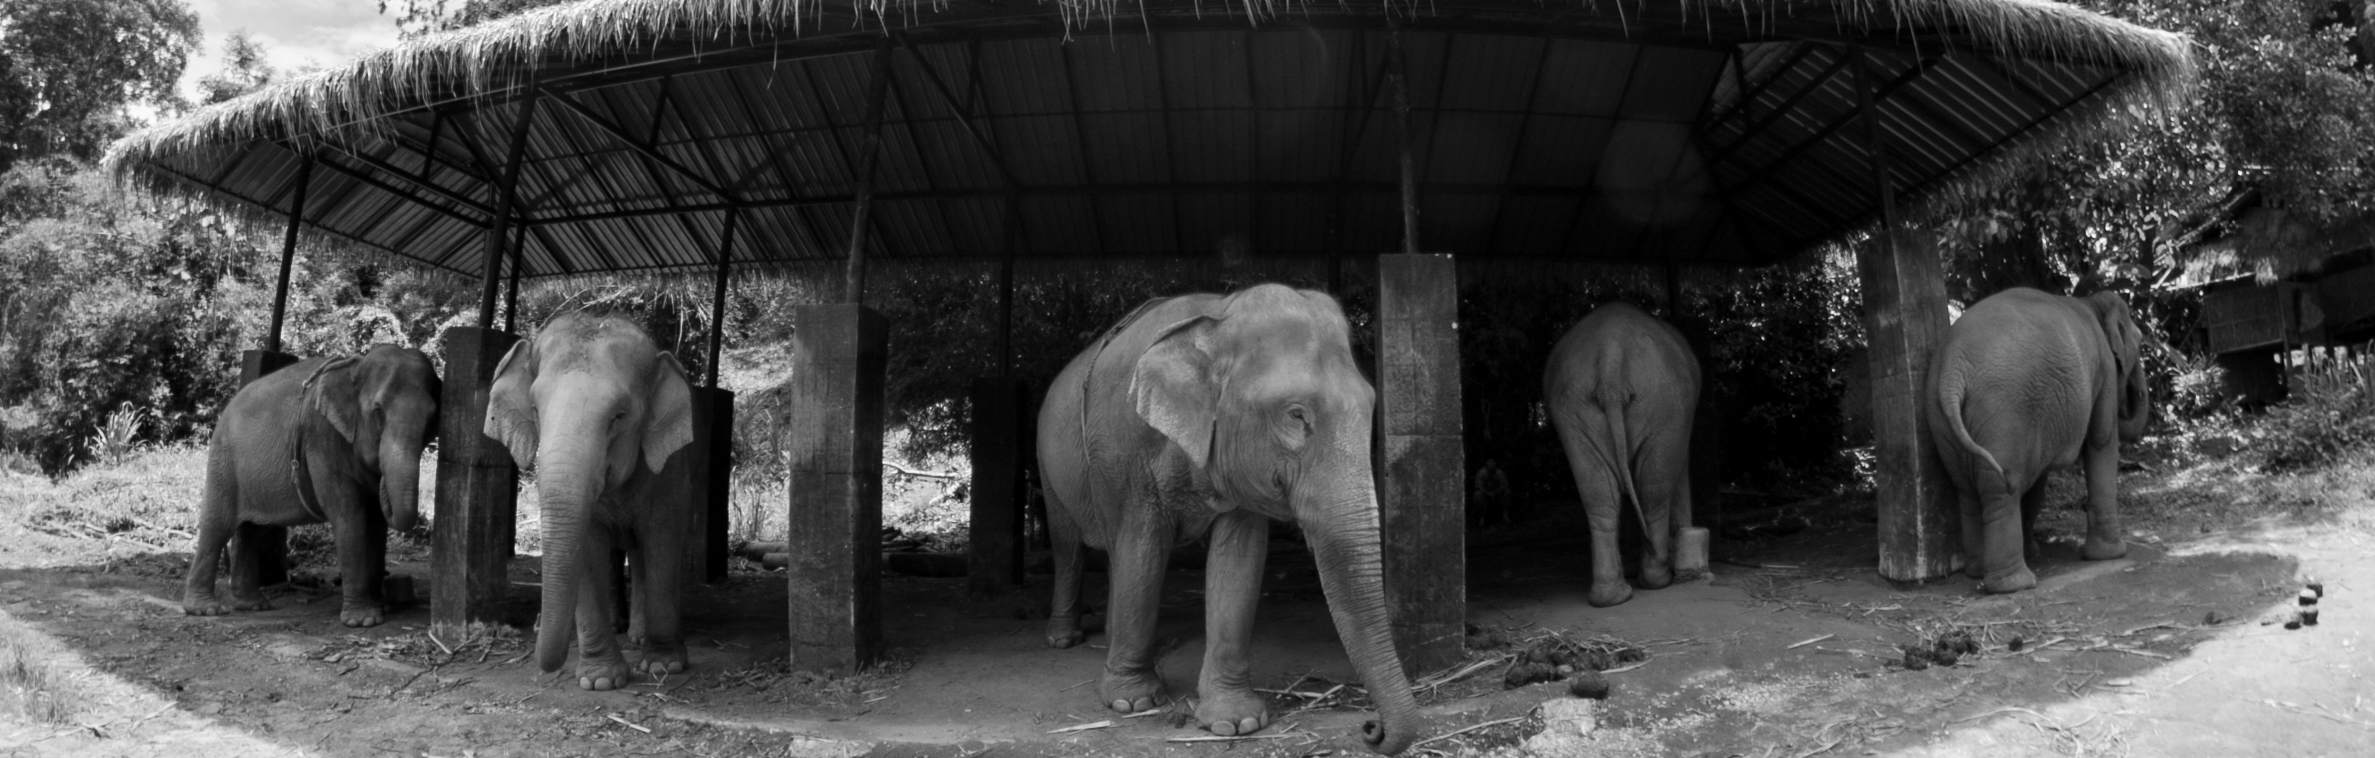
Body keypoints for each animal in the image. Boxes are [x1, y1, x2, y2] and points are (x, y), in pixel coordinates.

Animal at [184, 345, 440, 627]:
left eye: (432, 418)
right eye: (378, 411)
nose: (381, 474)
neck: (354, 368)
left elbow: (376, 522)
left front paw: (379, 608)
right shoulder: (320, 438)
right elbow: (349, 516)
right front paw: (362, 620)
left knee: (252, 531)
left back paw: (253, 605)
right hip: (223, 462)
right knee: (217, 525)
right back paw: (205, 610)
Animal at [486, 312, 697, 691]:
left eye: (619, 416)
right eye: (535, 409)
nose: (535, 627)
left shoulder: (671, 466)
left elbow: (663, 539)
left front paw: (665, 665)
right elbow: (586, 547)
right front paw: (600, 681)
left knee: (640, 553)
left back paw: (639, 636)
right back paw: (619, 627)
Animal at [1037, 283, 1418, 755]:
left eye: (1371, 406)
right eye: (1296, 414)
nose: (1370, 728)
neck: (1216, 316)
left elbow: (1238, 560)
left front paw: (1236, 723)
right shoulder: (1128, 451)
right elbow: (1142, 550)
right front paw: (1132, 702)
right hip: (1049, 461)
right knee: (1068, 546)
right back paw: (1064, 639)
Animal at [1543, 302, 1707, 609]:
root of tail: (1611, 355)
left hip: (1572, 409)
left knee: (1598, 494)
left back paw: (1611, 596)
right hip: (1664, 405)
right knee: (1654, 490)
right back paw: (1657, 579)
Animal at [1925, 287, 2151, 594]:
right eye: (2139, 342)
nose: (2136, 392)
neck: (2090, 303)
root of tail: (1952, 370)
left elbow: (2039, 479)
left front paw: (2034, 551)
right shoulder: (2103, 370)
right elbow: (2102, 440)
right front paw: (2112, 554)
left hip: (1943, 421)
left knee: (1967, 490)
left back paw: (1977, 571)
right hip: (2004, 412)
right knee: (2001, 489)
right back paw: (2015, 584)